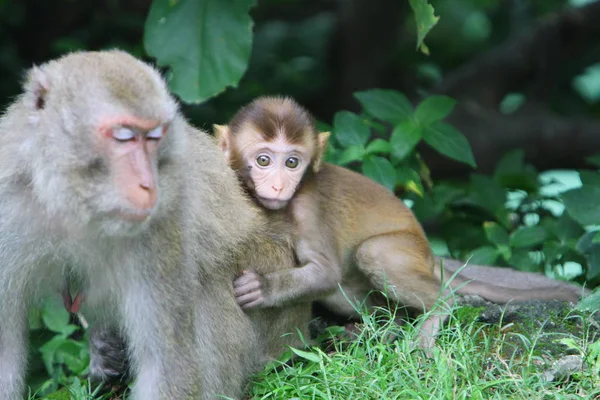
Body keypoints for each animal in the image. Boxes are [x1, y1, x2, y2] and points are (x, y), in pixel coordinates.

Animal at [0, 53, 310, 400]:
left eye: (152, 138)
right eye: (123, 137)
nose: (148, 184)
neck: (76, 204)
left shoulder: (164, 223)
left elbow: (169, 367)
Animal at [218, 95, 588, 348]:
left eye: (292, 163)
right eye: (264, 160)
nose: (279, 185)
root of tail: (430, 254)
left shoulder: (308, 206)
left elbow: (324, 273)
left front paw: (263, 287)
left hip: (407, 250)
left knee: (373, 255)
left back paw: (434, 313)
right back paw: (380, 326)